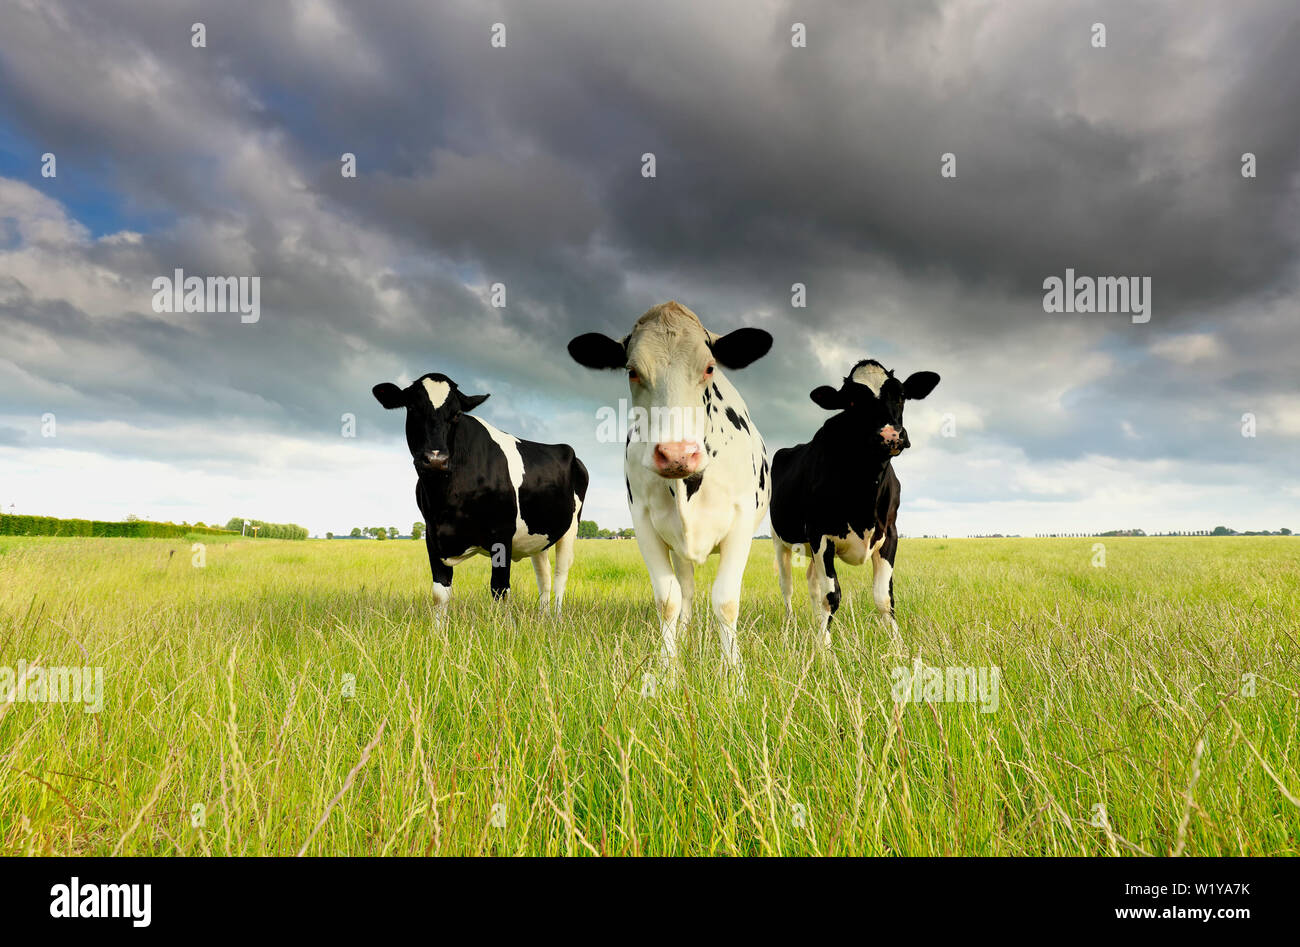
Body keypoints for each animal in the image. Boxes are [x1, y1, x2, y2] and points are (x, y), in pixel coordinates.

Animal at [372, 373, 588, 622]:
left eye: (456, 414)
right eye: (412, 407)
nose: (435, 460)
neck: (445, 500)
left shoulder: (502, 534)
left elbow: (499, 589)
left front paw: (501, 628)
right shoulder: (432, 534)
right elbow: (439, 593)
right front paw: (439, 630)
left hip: (570, 527)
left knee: (561, 573)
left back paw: (556, 619)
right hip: (538, 533)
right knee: (544, 575)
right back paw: (542, 617)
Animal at [568, 301, 772, 679]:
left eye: (709, 367)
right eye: (632, 371)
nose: (677, 453)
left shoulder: (740, 522)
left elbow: (726, 600)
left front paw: (734, 676)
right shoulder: (644, 523)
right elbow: (668, 600)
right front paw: (668, 671)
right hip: (678, 548)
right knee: (687, 590)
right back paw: (687, 636)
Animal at [769, 358, 939, 645]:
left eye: (901, 394)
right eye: (851, 402)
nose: (890, 435)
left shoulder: (889, 534)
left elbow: (884, 598)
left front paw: (898, 645)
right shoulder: (820, 535)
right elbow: (831, 595)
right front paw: (824, 647)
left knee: (812, 583)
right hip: (780, 540)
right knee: (787, 586)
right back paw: (790, 626)